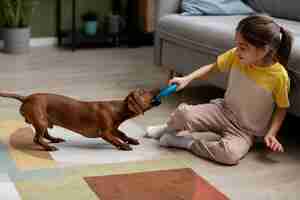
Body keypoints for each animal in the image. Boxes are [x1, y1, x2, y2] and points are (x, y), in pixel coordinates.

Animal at [0, 89, 159, 152]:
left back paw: (54, 140)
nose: (157, 90)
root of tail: (26, 98)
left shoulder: (113, 128)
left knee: (45, 134)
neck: (117, 109)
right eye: (144, 92)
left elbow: (123, 134)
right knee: (37, 139)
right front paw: (124, 145)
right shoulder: (105, 133)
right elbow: (115, 139)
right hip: (40, 121)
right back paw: (49, 147)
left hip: (43, 121)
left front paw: (131, 140)